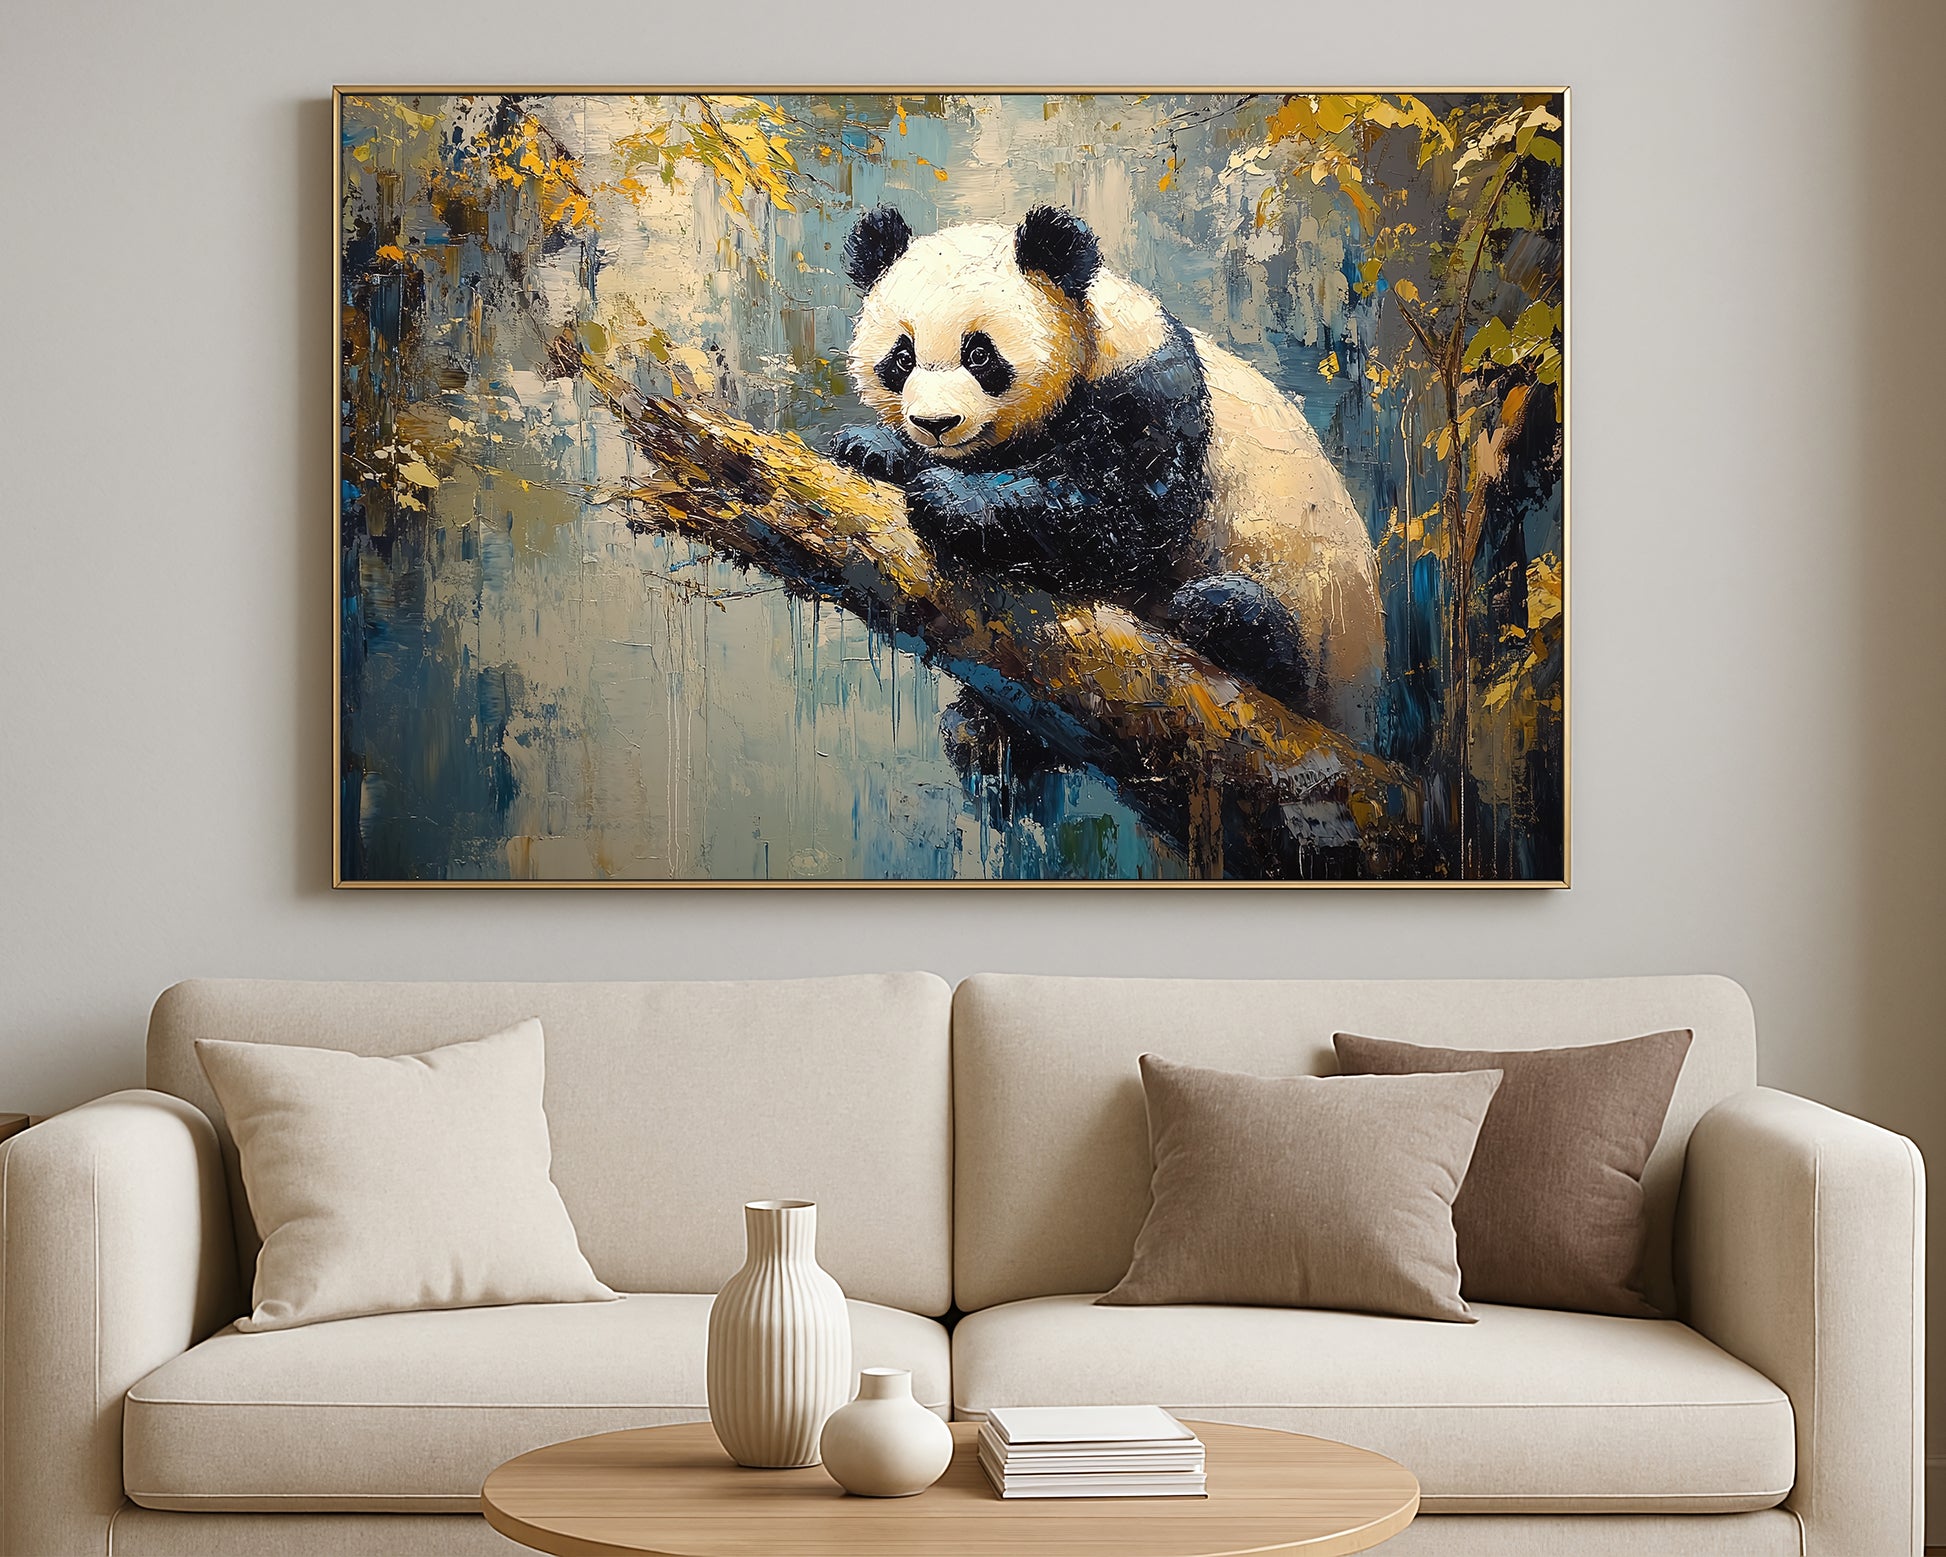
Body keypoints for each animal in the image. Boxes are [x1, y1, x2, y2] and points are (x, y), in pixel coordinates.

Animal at [828, 203, 1384, 746]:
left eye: (980, 354)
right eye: (902, 357)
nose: (936, 424)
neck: (1088, 336)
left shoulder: (1151, 389)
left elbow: (1125, 513)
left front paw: (951, 498)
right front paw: (873, 447)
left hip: (1320, 616)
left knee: (1276, 646)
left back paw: (1224, 615)